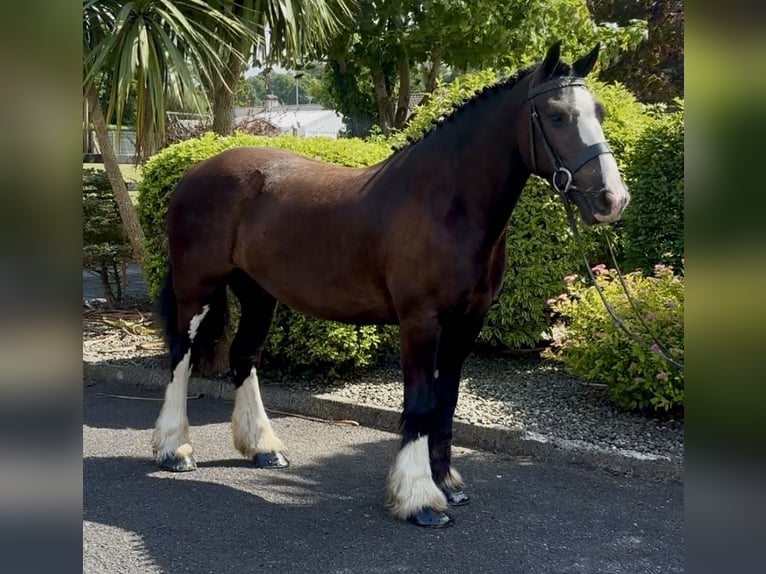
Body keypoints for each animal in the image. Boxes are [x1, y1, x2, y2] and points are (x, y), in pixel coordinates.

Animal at [152, 41, 630, 528]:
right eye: (556, 115)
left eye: (599, 111)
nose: (612, 199)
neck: (445, 204)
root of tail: (194, 172)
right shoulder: (420, 321)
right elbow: (419, 403)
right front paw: (419, 499)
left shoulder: (468, 322)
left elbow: (446, 399)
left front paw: (447, 484)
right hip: (196, 288)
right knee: (181, 356)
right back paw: (175, 450)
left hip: (258, 293)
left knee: (244, 356)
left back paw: (263, 449)